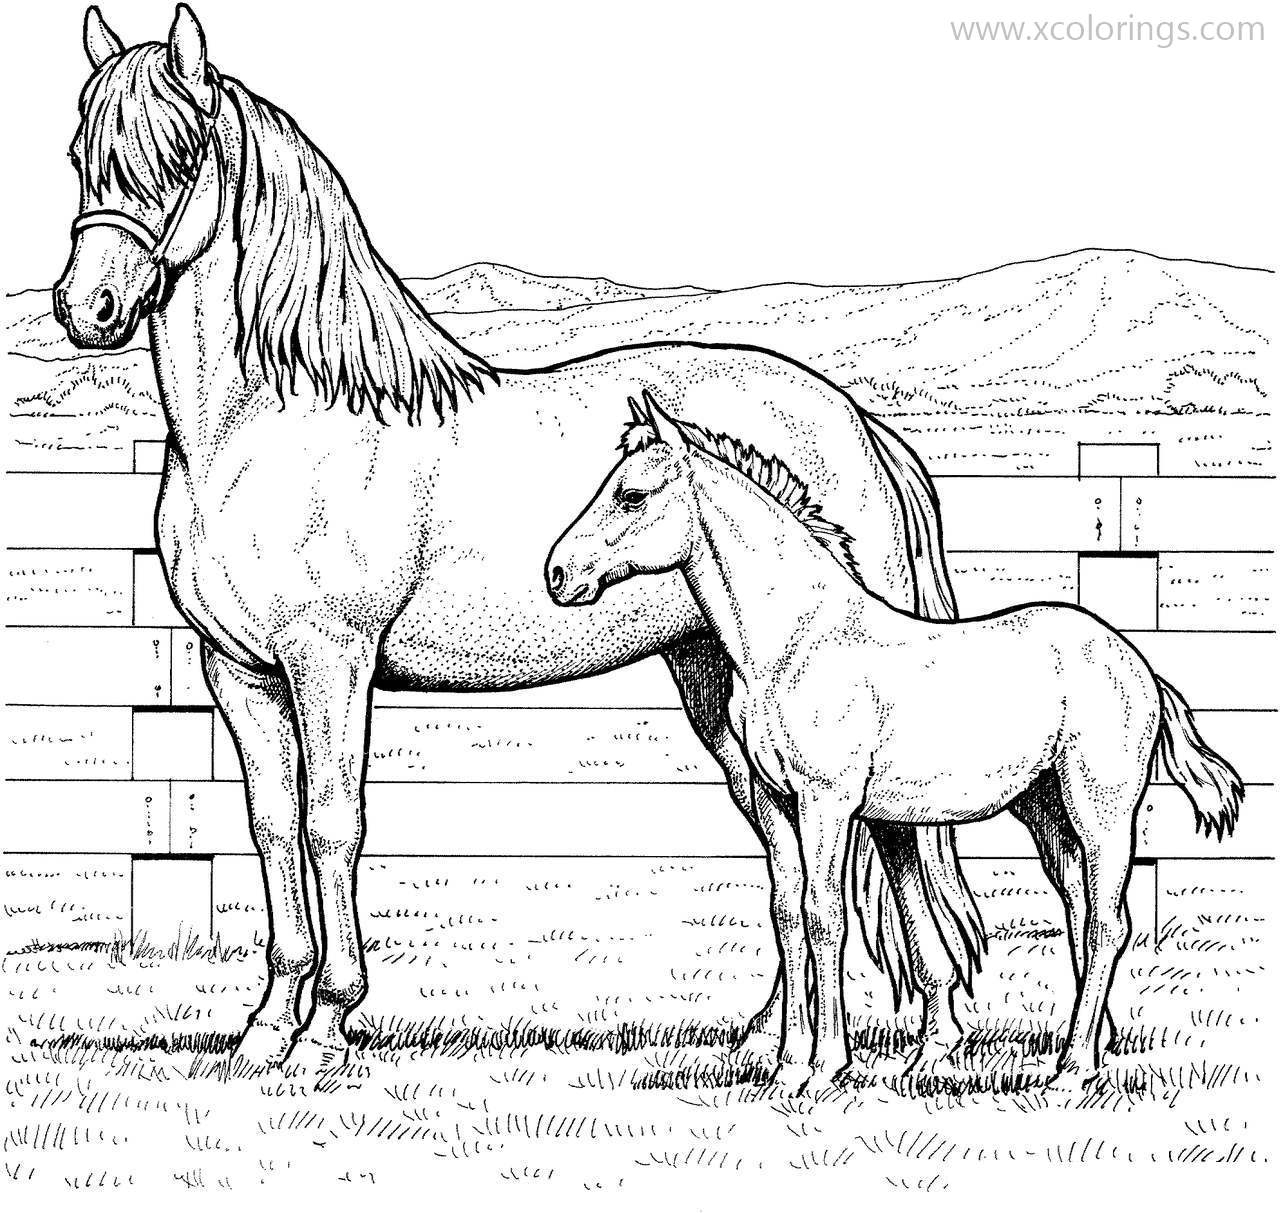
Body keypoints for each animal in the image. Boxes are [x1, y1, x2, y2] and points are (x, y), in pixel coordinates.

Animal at [53, 5, 984, 1070]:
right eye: (80, 156)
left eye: (177, 156)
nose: (86, 310)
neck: (266, 424)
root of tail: (860, 425)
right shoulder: (238, 670)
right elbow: (272, 828)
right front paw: (264, 1027)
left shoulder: (331, 660)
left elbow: (332, 824)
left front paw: (327, 1024)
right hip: (717, 679)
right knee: (789, 849)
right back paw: (775, 1039)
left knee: (897, 840)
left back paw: (932, 1035)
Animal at [546, 392, 1243, 1093]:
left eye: (632, 494)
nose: (557, 574)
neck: (796, 643)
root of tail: (1136, 662)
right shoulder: (780, 803)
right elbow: (790, 916)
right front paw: (787, 1065)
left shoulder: (828, 805)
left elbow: (826, 917)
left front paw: (824, 1067)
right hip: (1047, 813)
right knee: (1078, 911)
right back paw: (1077, 1056)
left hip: (1100, 812)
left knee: (1106, 924)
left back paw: (1073, 1069)